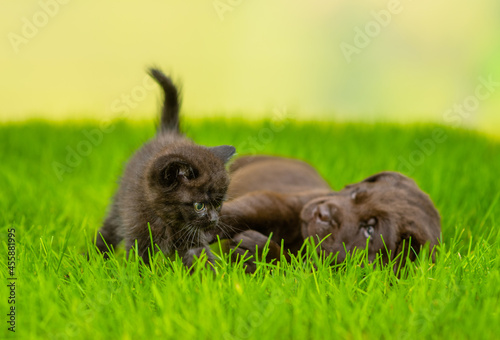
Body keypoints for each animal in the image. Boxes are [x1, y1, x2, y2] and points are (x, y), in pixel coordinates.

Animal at [95, 68, 236, 266]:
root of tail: (167, 131)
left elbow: (201, 258)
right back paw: (93, 258)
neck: (170, 221)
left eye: (219, 204)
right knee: (109, 230)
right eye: (199, 206)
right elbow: (140, 261)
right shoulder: (138, 229)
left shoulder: (193, 239)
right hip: (119, 205)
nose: (214, 220)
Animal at [221, 155, 440, 270]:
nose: (324, 214)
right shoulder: (285, 204)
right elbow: (248, 210)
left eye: (369, 230)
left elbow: (295, 268)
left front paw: (258, 253)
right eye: (355, 194)